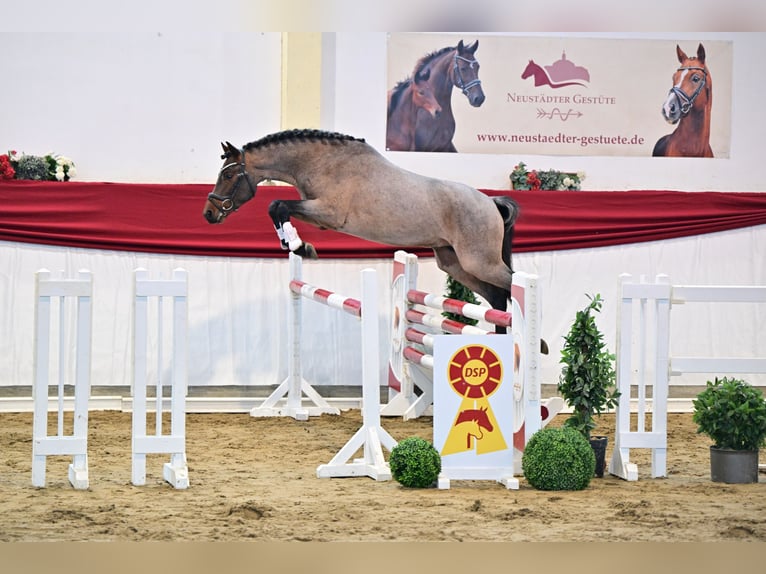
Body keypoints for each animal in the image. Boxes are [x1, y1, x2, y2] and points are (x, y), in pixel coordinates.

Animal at [204, 129, 524, 338]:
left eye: (228, 175)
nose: (209, 213)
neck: (322, 162)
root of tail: (490, 202)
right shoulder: (319, 215)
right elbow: (277, 207)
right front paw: (296, 245)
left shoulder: (328, 213)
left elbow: (277, 204)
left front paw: (299, 246)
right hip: (454, 263)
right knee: (497, 296)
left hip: (479, 261)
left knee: (510, 285)